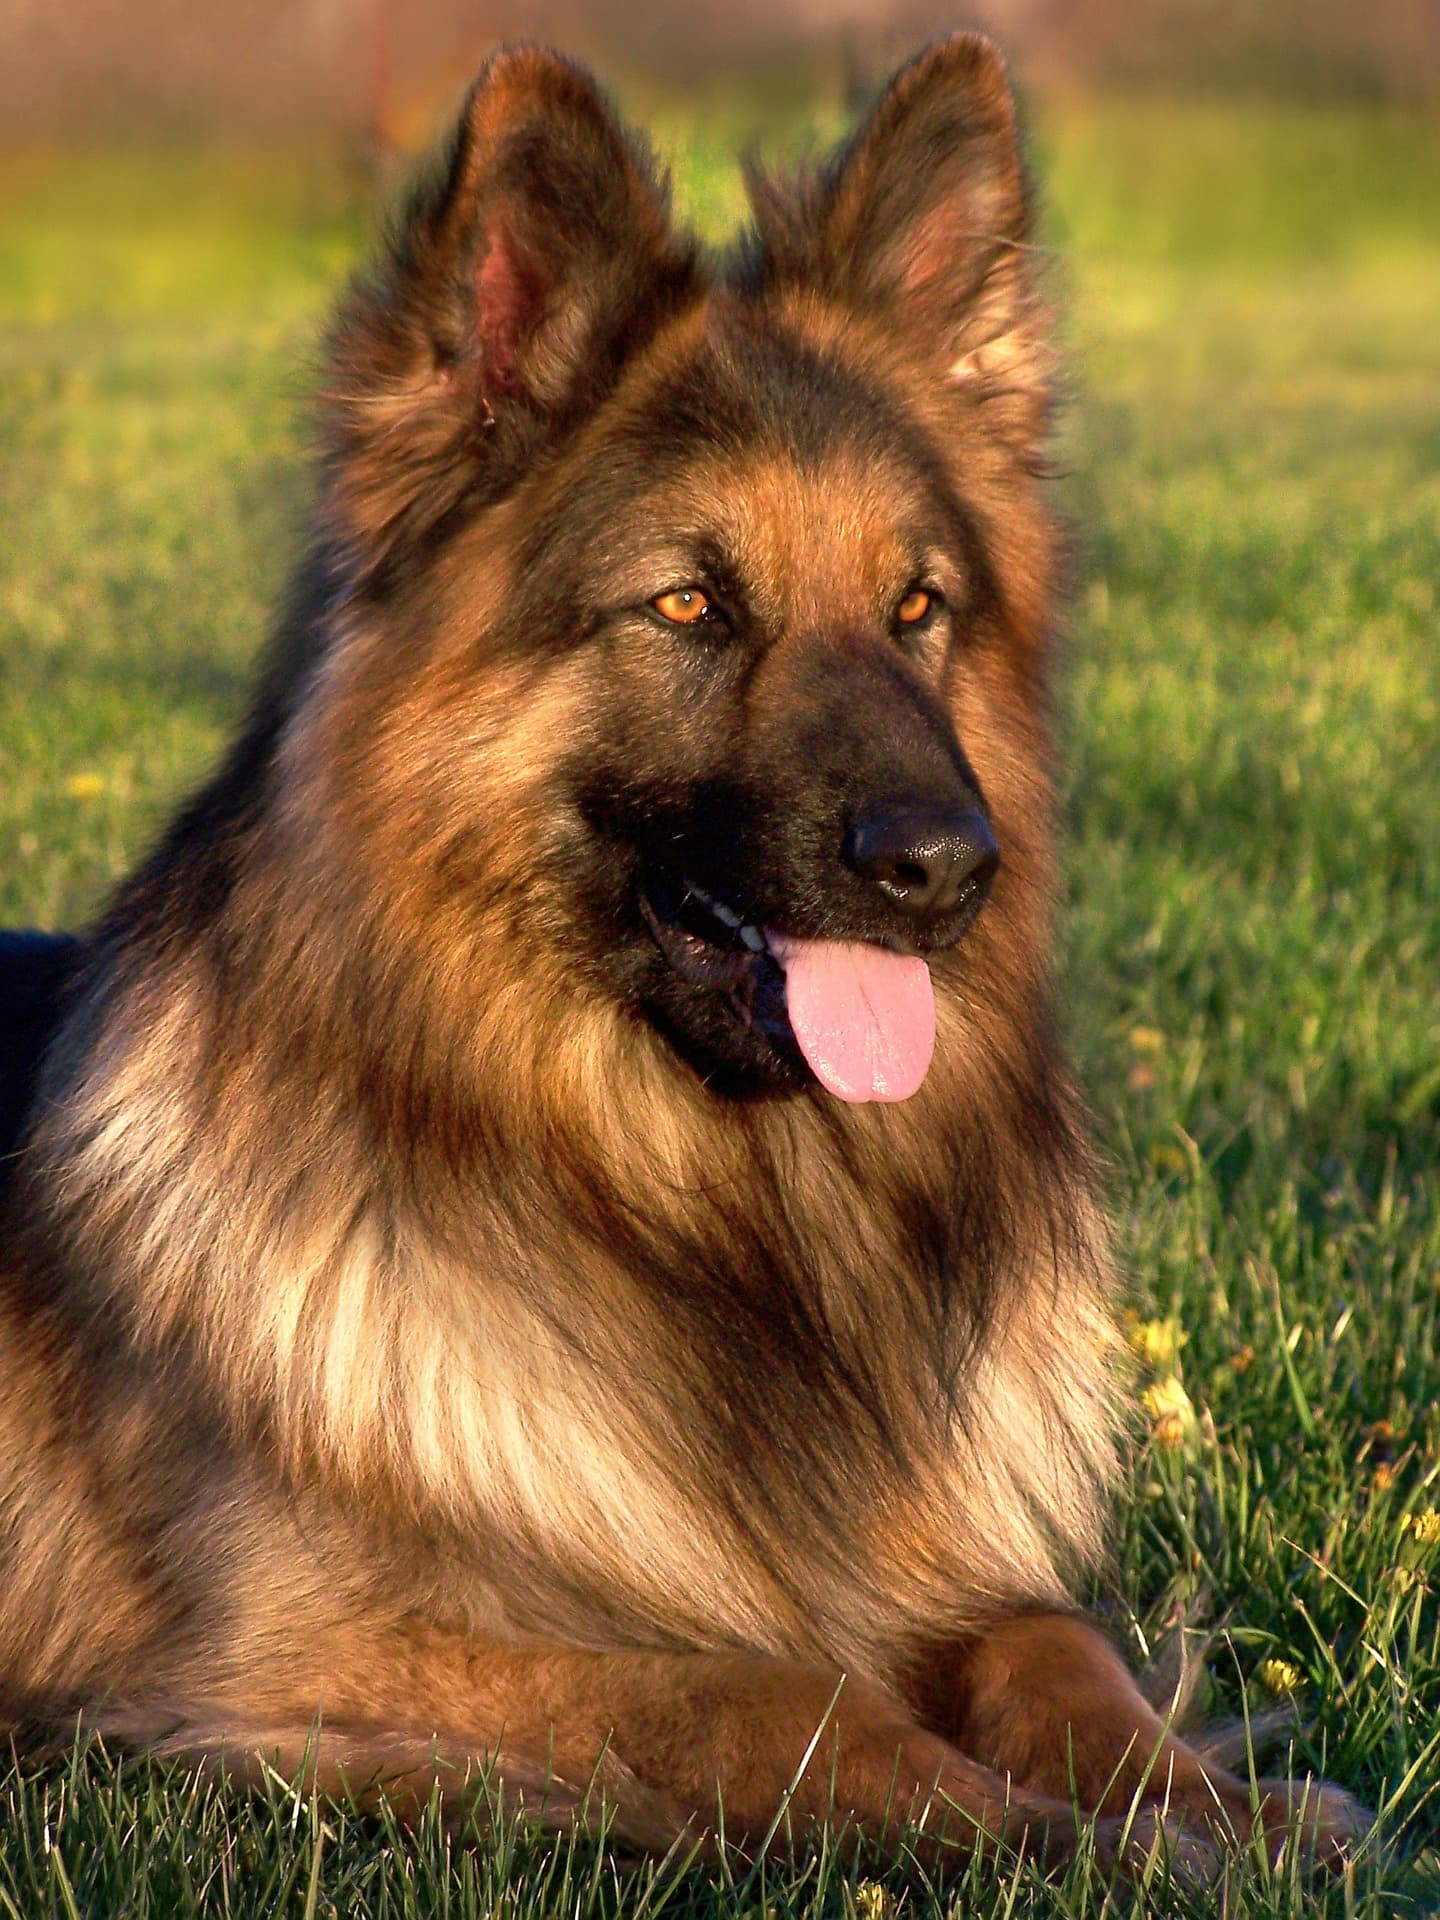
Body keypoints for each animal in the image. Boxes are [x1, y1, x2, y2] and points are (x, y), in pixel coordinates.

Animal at [0, 37, 1367, 1881]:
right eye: (689, 608)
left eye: (921, 607)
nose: (948, 867)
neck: (707, 1213)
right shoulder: (308, 1659)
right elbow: (772, 1698)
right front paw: (1061, 1836)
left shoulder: (950, 1575)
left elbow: (1051, 1644)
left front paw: (1209, 1807)